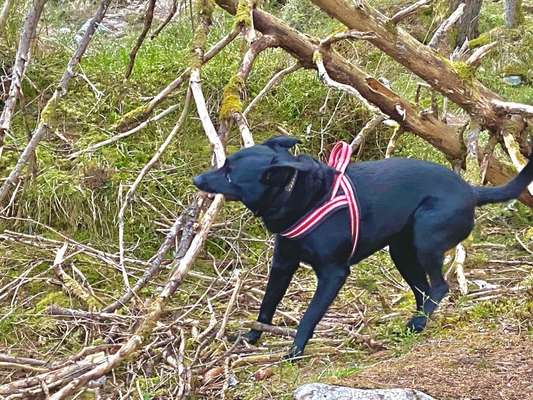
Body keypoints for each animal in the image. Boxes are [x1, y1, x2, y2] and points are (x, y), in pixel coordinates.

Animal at [194, 137, 532, 360]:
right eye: (224, 164)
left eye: (229, 174)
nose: (197, 179)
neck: (303, 196)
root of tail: (471, 191)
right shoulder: (282, 265)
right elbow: (266, 306)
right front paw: (252, 337)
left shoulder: (333, 274)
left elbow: (309, 316)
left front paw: (295, 351)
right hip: (401, 251)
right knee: (423, 289)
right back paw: (414, 325)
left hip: (425, 239)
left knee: (439, 286)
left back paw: (419, 321)